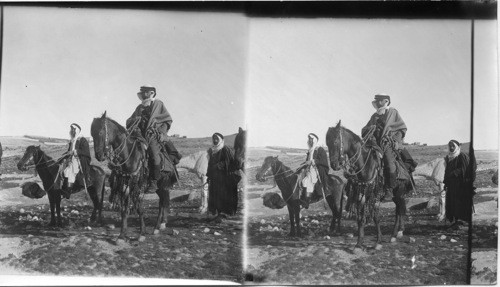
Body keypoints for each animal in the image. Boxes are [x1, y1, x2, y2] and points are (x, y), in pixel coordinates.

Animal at [90, 111, 176, 240]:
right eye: (92, 134)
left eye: (100, 132)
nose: (99, 156)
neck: (128, 154)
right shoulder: (124, 183)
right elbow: (124, 209)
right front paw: (122, 234)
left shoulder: (136, 184)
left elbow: (139, 207)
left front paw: (142, 233)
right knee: (162, 202)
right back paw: (157, 227)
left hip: (162, 183)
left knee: (162, 203)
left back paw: (157, 227)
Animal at [326, 121, 412, 250]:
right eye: (327, 143)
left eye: (335, 141)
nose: (334, 165)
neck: (365, 164)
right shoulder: (360, 192)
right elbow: (360, 218)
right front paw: (359, 243)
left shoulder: (374, 194)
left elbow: (376, 217)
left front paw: (378, 241)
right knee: (398, 208)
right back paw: (396, 233)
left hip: (399, 192)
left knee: (399, 211)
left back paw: (394, 234)